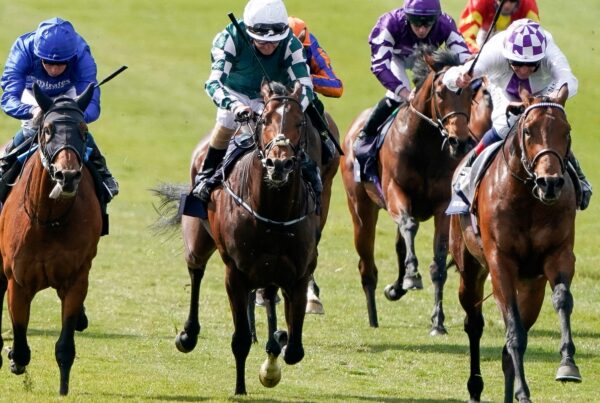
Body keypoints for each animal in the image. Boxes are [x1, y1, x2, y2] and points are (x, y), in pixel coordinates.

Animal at [0, 83, 101, 396]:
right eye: (46, 129)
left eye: (83, 129)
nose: (66, 176)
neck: (48, 219)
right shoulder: (18, 280)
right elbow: (21, 343)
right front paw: (13, 356)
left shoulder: (75, 279)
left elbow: (65, 346)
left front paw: (64, 389)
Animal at [155, 80, 332, 396]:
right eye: (264, 120)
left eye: (300, 122)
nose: (279, 164)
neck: (274, 211)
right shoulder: (236, 274)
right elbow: (239, 340)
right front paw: (240, 387)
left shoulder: (298, 273)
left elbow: (294, 348)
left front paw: (272, 360)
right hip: (199, 239)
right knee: (196, 271)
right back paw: (188, 335)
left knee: (268, 296)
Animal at [342, 47, 474, 332]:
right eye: (440, 92)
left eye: (471, 93)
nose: (459, 142)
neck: (424, 144)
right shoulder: (395, 191)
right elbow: (409, 225)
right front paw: (413, 275)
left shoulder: (442, 206)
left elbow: (439, 259)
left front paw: (438, 321)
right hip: (361, 210)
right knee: (367, 266)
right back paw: (373, 317)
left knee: (399, 245)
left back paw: (396, 288)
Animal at [450, 83, 580, 402]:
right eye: (529, 131)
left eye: (567, 130)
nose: (550, 182)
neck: (529, 201)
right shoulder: (501, 262)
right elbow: (514, 332)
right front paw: (523, 391)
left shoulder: (557, 255)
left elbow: (562, 300)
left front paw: (568, 364)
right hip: (469, 268)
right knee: (475, 323)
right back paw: (475, 387)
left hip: (531, 286)